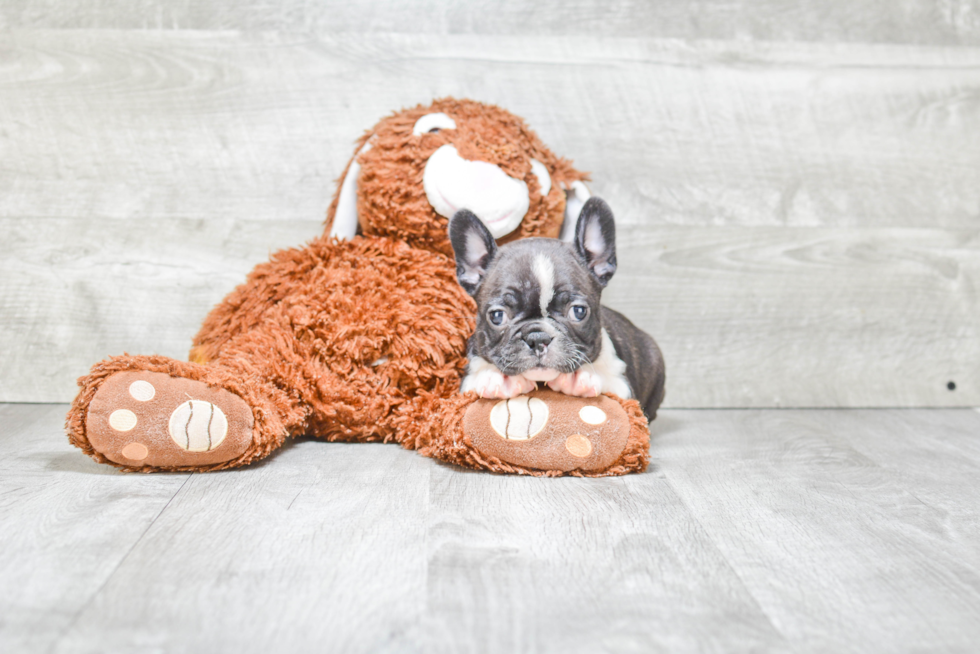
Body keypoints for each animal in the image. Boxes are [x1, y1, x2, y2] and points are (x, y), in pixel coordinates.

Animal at [450, 197, 668, 420]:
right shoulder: (464, 385)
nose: (538, 338)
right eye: (497, 316)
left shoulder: (622, 385)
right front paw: (496, 378)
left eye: (578, 312)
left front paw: (580, 378)